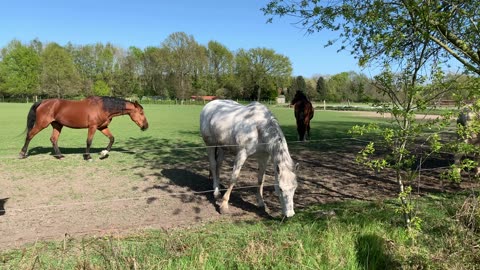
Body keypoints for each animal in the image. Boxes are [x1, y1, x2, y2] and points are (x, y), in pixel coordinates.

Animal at [18, 96, 148, 160]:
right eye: (141, 112)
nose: (146, 126)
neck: (103, 107)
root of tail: (43, 102)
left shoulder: (102, 127)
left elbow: (112, 139)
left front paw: (103, 153)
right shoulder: (93, 127)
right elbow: (89, 141)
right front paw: (87, 156)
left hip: (57, 125)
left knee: (53, 139)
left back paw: (59, 156)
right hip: (41, 124)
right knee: (30, 135)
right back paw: (22, 154)